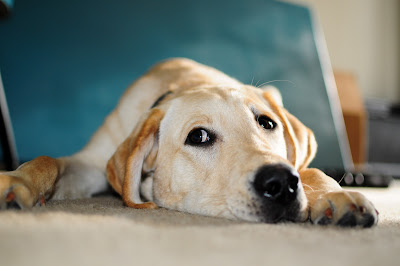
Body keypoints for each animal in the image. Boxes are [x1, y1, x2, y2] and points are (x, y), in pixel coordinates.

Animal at [0, 58, 376, 227]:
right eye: (198, 136)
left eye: (267, 123)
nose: (281, 183)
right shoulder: (92, 164)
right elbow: (47, 160)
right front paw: (16, 181)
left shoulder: (299, 165)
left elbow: (314, 173)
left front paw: (337, 197)